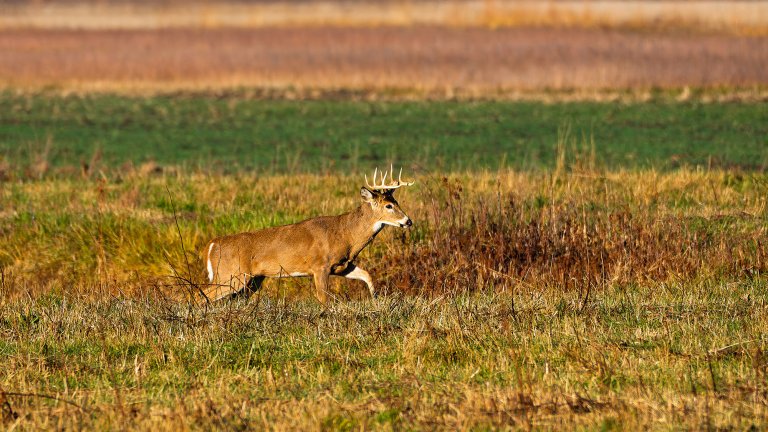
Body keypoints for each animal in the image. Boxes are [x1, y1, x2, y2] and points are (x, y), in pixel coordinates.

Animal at [202, 167, 414, 304]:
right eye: (389, 206)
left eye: (396, 202)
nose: (408, 221)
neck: (346, 234)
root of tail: (212, 245)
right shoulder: (320, 266)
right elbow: (324, 299)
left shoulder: (342, 266)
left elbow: (367, 275)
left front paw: (376, 299)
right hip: (231, 274)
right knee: (201, 295)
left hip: (252, 279)